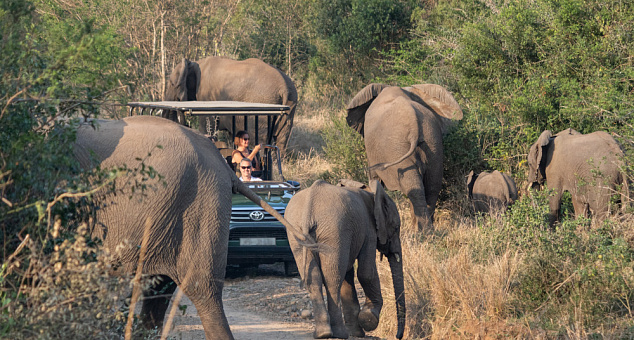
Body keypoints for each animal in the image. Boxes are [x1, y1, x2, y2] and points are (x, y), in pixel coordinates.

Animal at [165, 56, 298, 154]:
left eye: (171, 83)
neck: (195, 63)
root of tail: (284, 88)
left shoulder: (207, 96)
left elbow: (207, 125)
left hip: (264, 107)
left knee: (261, 140)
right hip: (291, 106)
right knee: (282, 139)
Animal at [282, 179, 402, 338]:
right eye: (396, 228)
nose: (398, 336)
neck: (371, 193)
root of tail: (310, 206)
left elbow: (348, 275)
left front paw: (357, 333)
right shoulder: (368, 230)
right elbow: (366, 273)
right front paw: (368, 319)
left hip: (298, 234)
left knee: (315, 279)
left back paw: (322, 333)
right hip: (334, 230)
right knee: (333, 279)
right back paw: (339, 333)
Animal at [348, 83, 462, 232]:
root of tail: (415, 126)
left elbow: (374, 180)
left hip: (397, 147)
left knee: (415, 188)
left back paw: (422, 232)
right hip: (433, 143)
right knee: (431, 186)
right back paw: (427, 231)